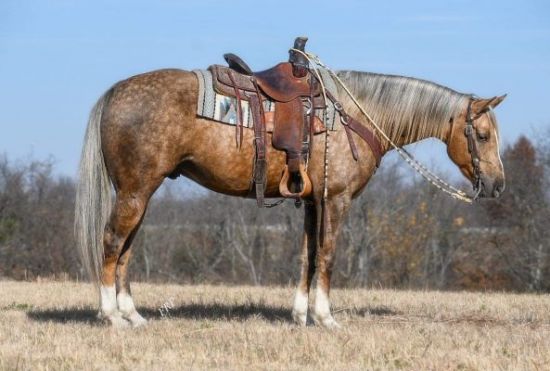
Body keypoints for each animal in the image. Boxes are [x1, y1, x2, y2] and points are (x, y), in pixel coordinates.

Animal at [74, 65, 508, 330]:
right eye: (483, 134)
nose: (497, 185)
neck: (354, 116)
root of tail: (115, 93)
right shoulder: (336, 200)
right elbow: (328, 255)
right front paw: (326, 318)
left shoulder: (314, 202)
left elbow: (308, 256)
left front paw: (301, 315)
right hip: (135, 191)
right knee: (111, 243)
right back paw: (111, 316)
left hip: (141, 192)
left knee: (125, 249)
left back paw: (133, 316)